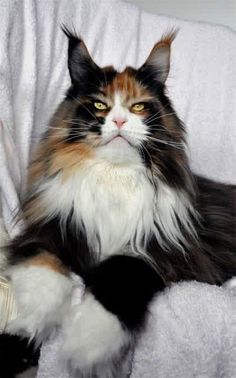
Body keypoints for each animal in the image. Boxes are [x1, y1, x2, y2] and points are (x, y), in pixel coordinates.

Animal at [0, 28, 235, 376]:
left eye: (138, 107)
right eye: (100, 104)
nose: (120, 122)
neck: (114, 176)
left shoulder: (155, 253)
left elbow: (114, 283)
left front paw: (84, 346)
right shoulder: (51, 230)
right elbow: (46, 271)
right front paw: (33, 322)